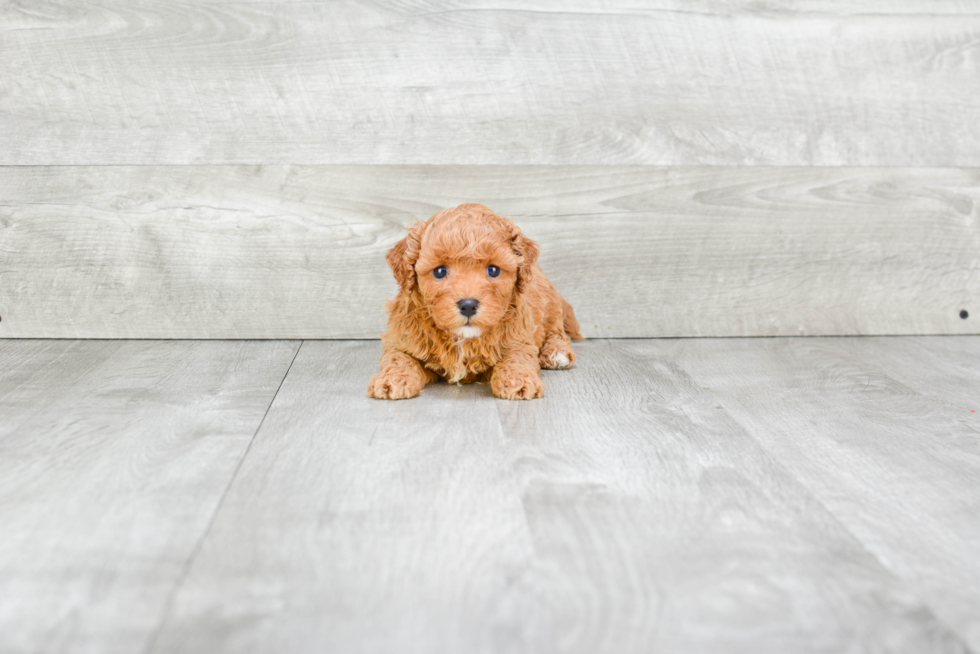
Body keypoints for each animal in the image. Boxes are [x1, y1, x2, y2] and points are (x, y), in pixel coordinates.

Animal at [368, 202, 580, 402]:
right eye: (440, 271)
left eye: (493, 270)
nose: (468, 305)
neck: (462, 339)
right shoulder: (401, 338)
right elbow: (398, 358)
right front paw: (391, 380)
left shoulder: (520, 339)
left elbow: (517, 358)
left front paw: (518, 381)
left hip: (550, 307)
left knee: (558, 333)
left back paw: (557, 353)